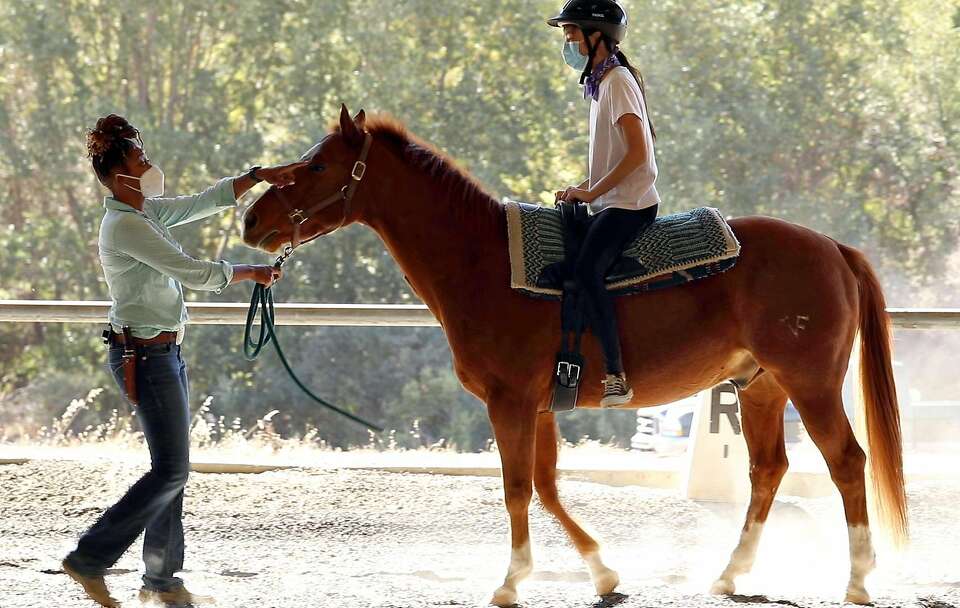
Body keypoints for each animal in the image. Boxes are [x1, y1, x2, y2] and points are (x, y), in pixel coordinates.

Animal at [242, 107, 908, 604]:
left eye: (317, 163)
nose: (251, 220)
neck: (483, 263)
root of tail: (833, 248)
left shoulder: (510, 403)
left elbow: (516, 488)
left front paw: (510, 582)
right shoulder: (539, 407)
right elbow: (547, 486)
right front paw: (602, 572)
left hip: (811, 383)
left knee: (847, 461)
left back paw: (856, 580)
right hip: (761, 386)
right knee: (768, 470)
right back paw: (730, 573)